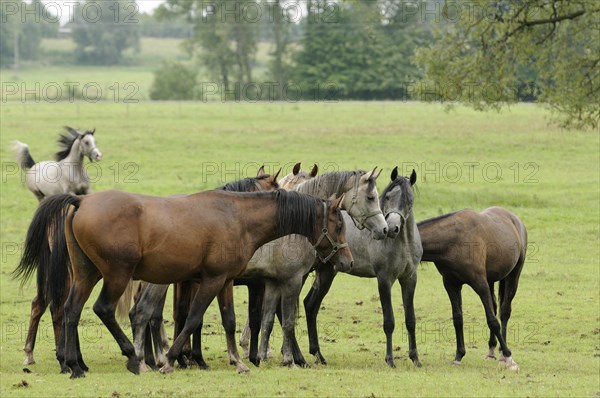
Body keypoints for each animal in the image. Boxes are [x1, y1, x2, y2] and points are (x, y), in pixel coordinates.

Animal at [16, 188, 354, 378]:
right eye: (338, 225)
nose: (347, 261)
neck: (237, 217)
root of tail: (81, 201)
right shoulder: (211, 280)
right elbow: (192, 319)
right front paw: (169, 361)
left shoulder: (226, 281)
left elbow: (229, 321)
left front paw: (238, 361)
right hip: (116, 275)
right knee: (103, 310)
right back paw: (134, 359)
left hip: (86, 274)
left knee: (70, 311)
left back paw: (74, 366)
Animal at [300, 166, 422, 368]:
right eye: (387, 197)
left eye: (409, 200)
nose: (391, 228)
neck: (403, 243)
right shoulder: (384, 279)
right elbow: (389, 321)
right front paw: (390, 360)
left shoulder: (409, 278)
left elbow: (411, 319)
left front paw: (415, 358)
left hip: (326, 273)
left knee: (310, 305)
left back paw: (318, 354)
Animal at [418, 207, 524, 372]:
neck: (453, 240)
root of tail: (513, 218)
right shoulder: (451, 284)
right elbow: (458, 319)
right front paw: (459, 355)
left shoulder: (480, 283)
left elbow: (492, 320)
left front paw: (509, 358)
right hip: (491, 281)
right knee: (495, 307)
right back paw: (492, 351)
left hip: (513, 275)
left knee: (504, 312)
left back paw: (502, 355)